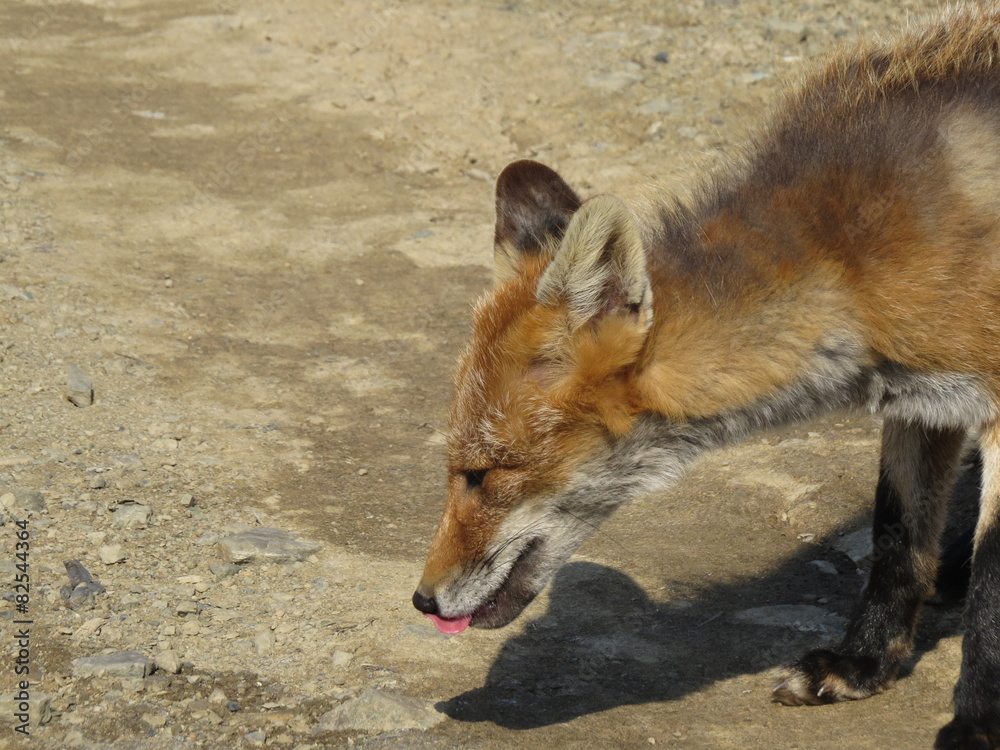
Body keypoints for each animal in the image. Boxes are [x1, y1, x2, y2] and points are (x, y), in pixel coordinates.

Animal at [413, 5, 1000, 748]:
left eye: (484, 474)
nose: (421, 598)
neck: (857, 258)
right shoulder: (921, 398)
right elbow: (897, 536)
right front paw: (863, 665)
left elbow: (993, 590)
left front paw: (976, 724)